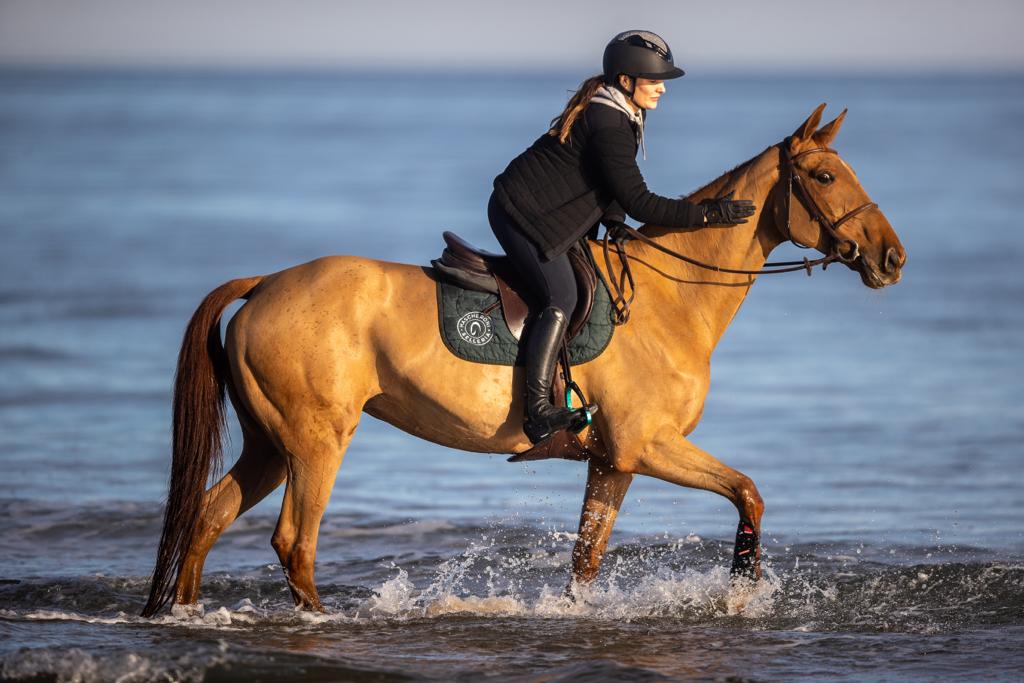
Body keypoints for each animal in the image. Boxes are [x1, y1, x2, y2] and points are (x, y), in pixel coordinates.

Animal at [142, 102, 905, 618]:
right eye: (824, 175)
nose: (891, 258)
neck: (671, 299)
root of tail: (265, 284)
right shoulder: (647, 444)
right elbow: (747, 490)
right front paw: (743, 584)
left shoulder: (613, 460)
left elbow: (589, 558)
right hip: (314, 442)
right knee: (294, 543)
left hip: (272, 444)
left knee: (208, 516)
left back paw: (187, 613)